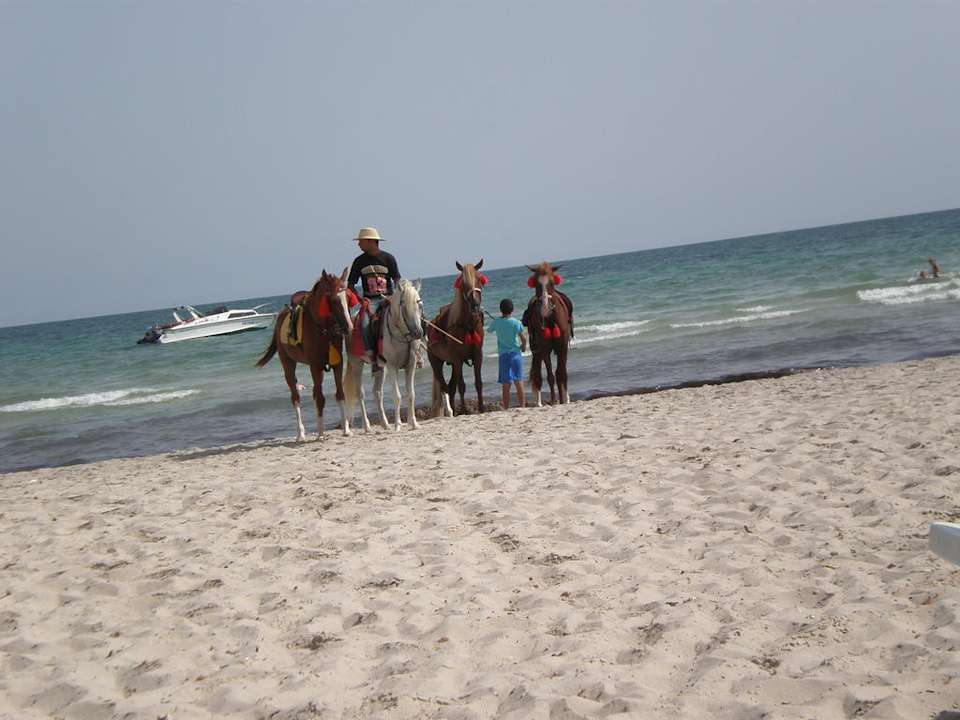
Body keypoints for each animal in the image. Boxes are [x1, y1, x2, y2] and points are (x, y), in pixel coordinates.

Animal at [255, 269, 355, 440]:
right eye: (333, 300)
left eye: (348, 298)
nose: (349, 327)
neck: (322, 328)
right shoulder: (315, 366)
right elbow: (320, 399)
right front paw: (320, 433)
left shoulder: (337, 363)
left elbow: (340, 394)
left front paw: (346, 429)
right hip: (288, 364)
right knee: (296, 397)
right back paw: (301, 433)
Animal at [343, 279, 425, 432]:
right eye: (403, 305)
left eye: (419, 304)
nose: (418, 332)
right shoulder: (392, 367)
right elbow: (397, 396)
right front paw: (398, 425)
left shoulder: (410, 366)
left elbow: (411, 393)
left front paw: (413, 423)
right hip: (356, 364)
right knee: (360, 394)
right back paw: (367, 426)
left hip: (380, 368)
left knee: (377, 392)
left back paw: (385, 424)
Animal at [427, 260, 486, 417]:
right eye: (463, 284)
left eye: (479, 279)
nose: (475, 305)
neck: (467, 325)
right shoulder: (458, 359)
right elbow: (462, 386)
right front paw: (465, 411)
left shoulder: (477, 355)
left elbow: (478, 383)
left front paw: (482, 409)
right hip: (437, 363)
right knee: (445, 387)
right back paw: (450, 412)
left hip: (453, 364)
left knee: (451, 387)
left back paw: (453, 410)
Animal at [524, 261, 572, 406]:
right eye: (536, 284)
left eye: (551, 282)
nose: (545, 309)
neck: (551, 319)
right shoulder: (544, 349)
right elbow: (550, 375)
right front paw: (554, 400)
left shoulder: (562, 347)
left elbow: (561, 373)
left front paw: (564, 399)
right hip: (536, 350)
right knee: (537, 374)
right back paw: (539, 402)